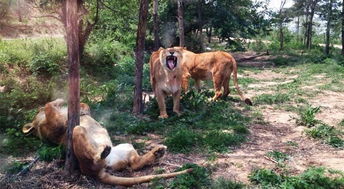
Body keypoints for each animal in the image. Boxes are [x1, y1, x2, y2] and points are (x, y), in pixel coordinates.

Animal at [22, 99, 192, 186]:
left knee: (135, 164)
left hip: (126, 147)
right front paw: (59, 101)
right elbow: (49, 106)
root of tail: (99, 172)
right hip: (77, 130)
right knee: (95, 157)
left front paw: (77, 106)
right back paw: (101, 153)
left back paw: (158, 151)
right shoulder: (54, 129)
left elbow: (85, 106)